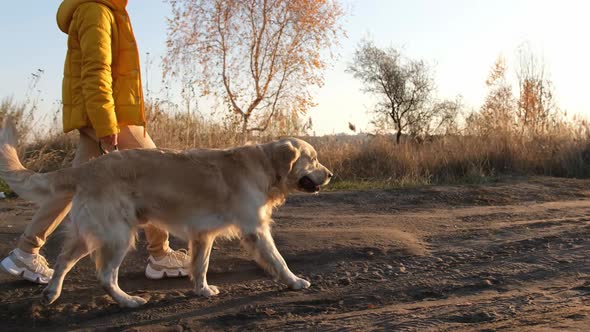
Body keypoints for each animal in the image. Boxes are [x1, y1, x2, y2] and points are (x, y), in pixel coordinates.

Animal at [0, 118, 332, 308]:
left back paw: (51, 293)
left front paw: (202, 290)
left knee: (64, 259)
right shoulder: (255, 229)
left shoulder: (203, 235)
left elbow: (201, 265)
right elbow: (278, 259)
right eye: (314, 159)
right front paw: (295, 281)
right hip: (118, 235)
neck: (264, 165)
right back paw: (128, 301)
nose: (330, 175)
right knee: (105, 275)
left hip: (93, 233)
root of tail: (87, 167)